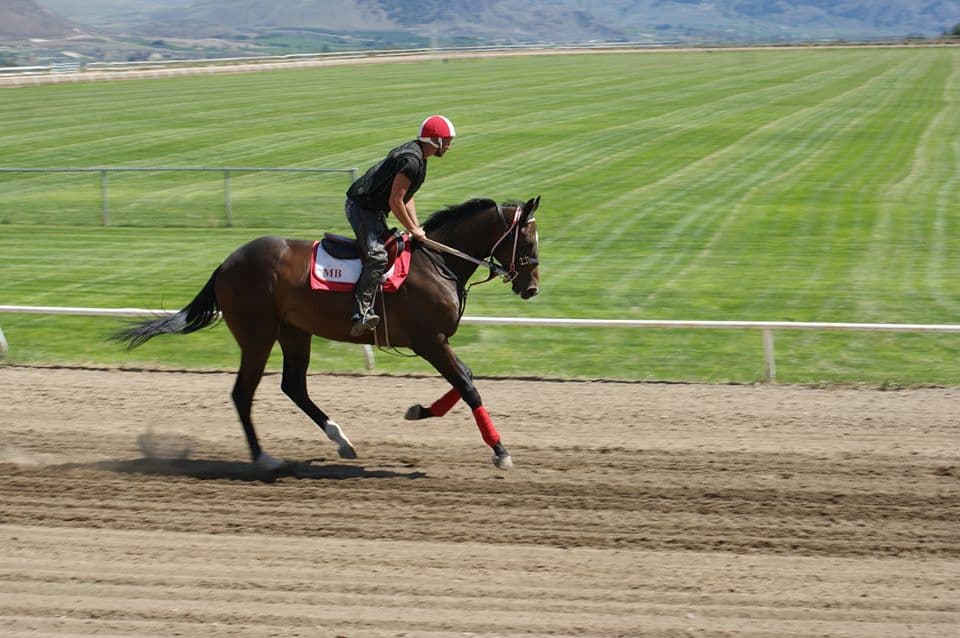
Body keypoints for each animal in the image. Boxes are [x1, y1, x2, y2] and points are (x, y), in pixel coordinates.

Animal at [113, 196, 541, 471]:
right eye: (528, 240)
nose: (531, 288)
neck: (439, 262)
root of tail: (227, 263)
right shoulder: (429, 340)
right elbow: (467, 385)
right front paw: (500, 451)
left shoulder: (435, 341)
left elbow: (464, 378)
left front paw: (419, 410)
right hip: (257, 334)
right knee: (243, 393)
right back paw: (263, 458)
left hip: (293, 331)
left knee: (293, 386)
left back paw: (341, 439)